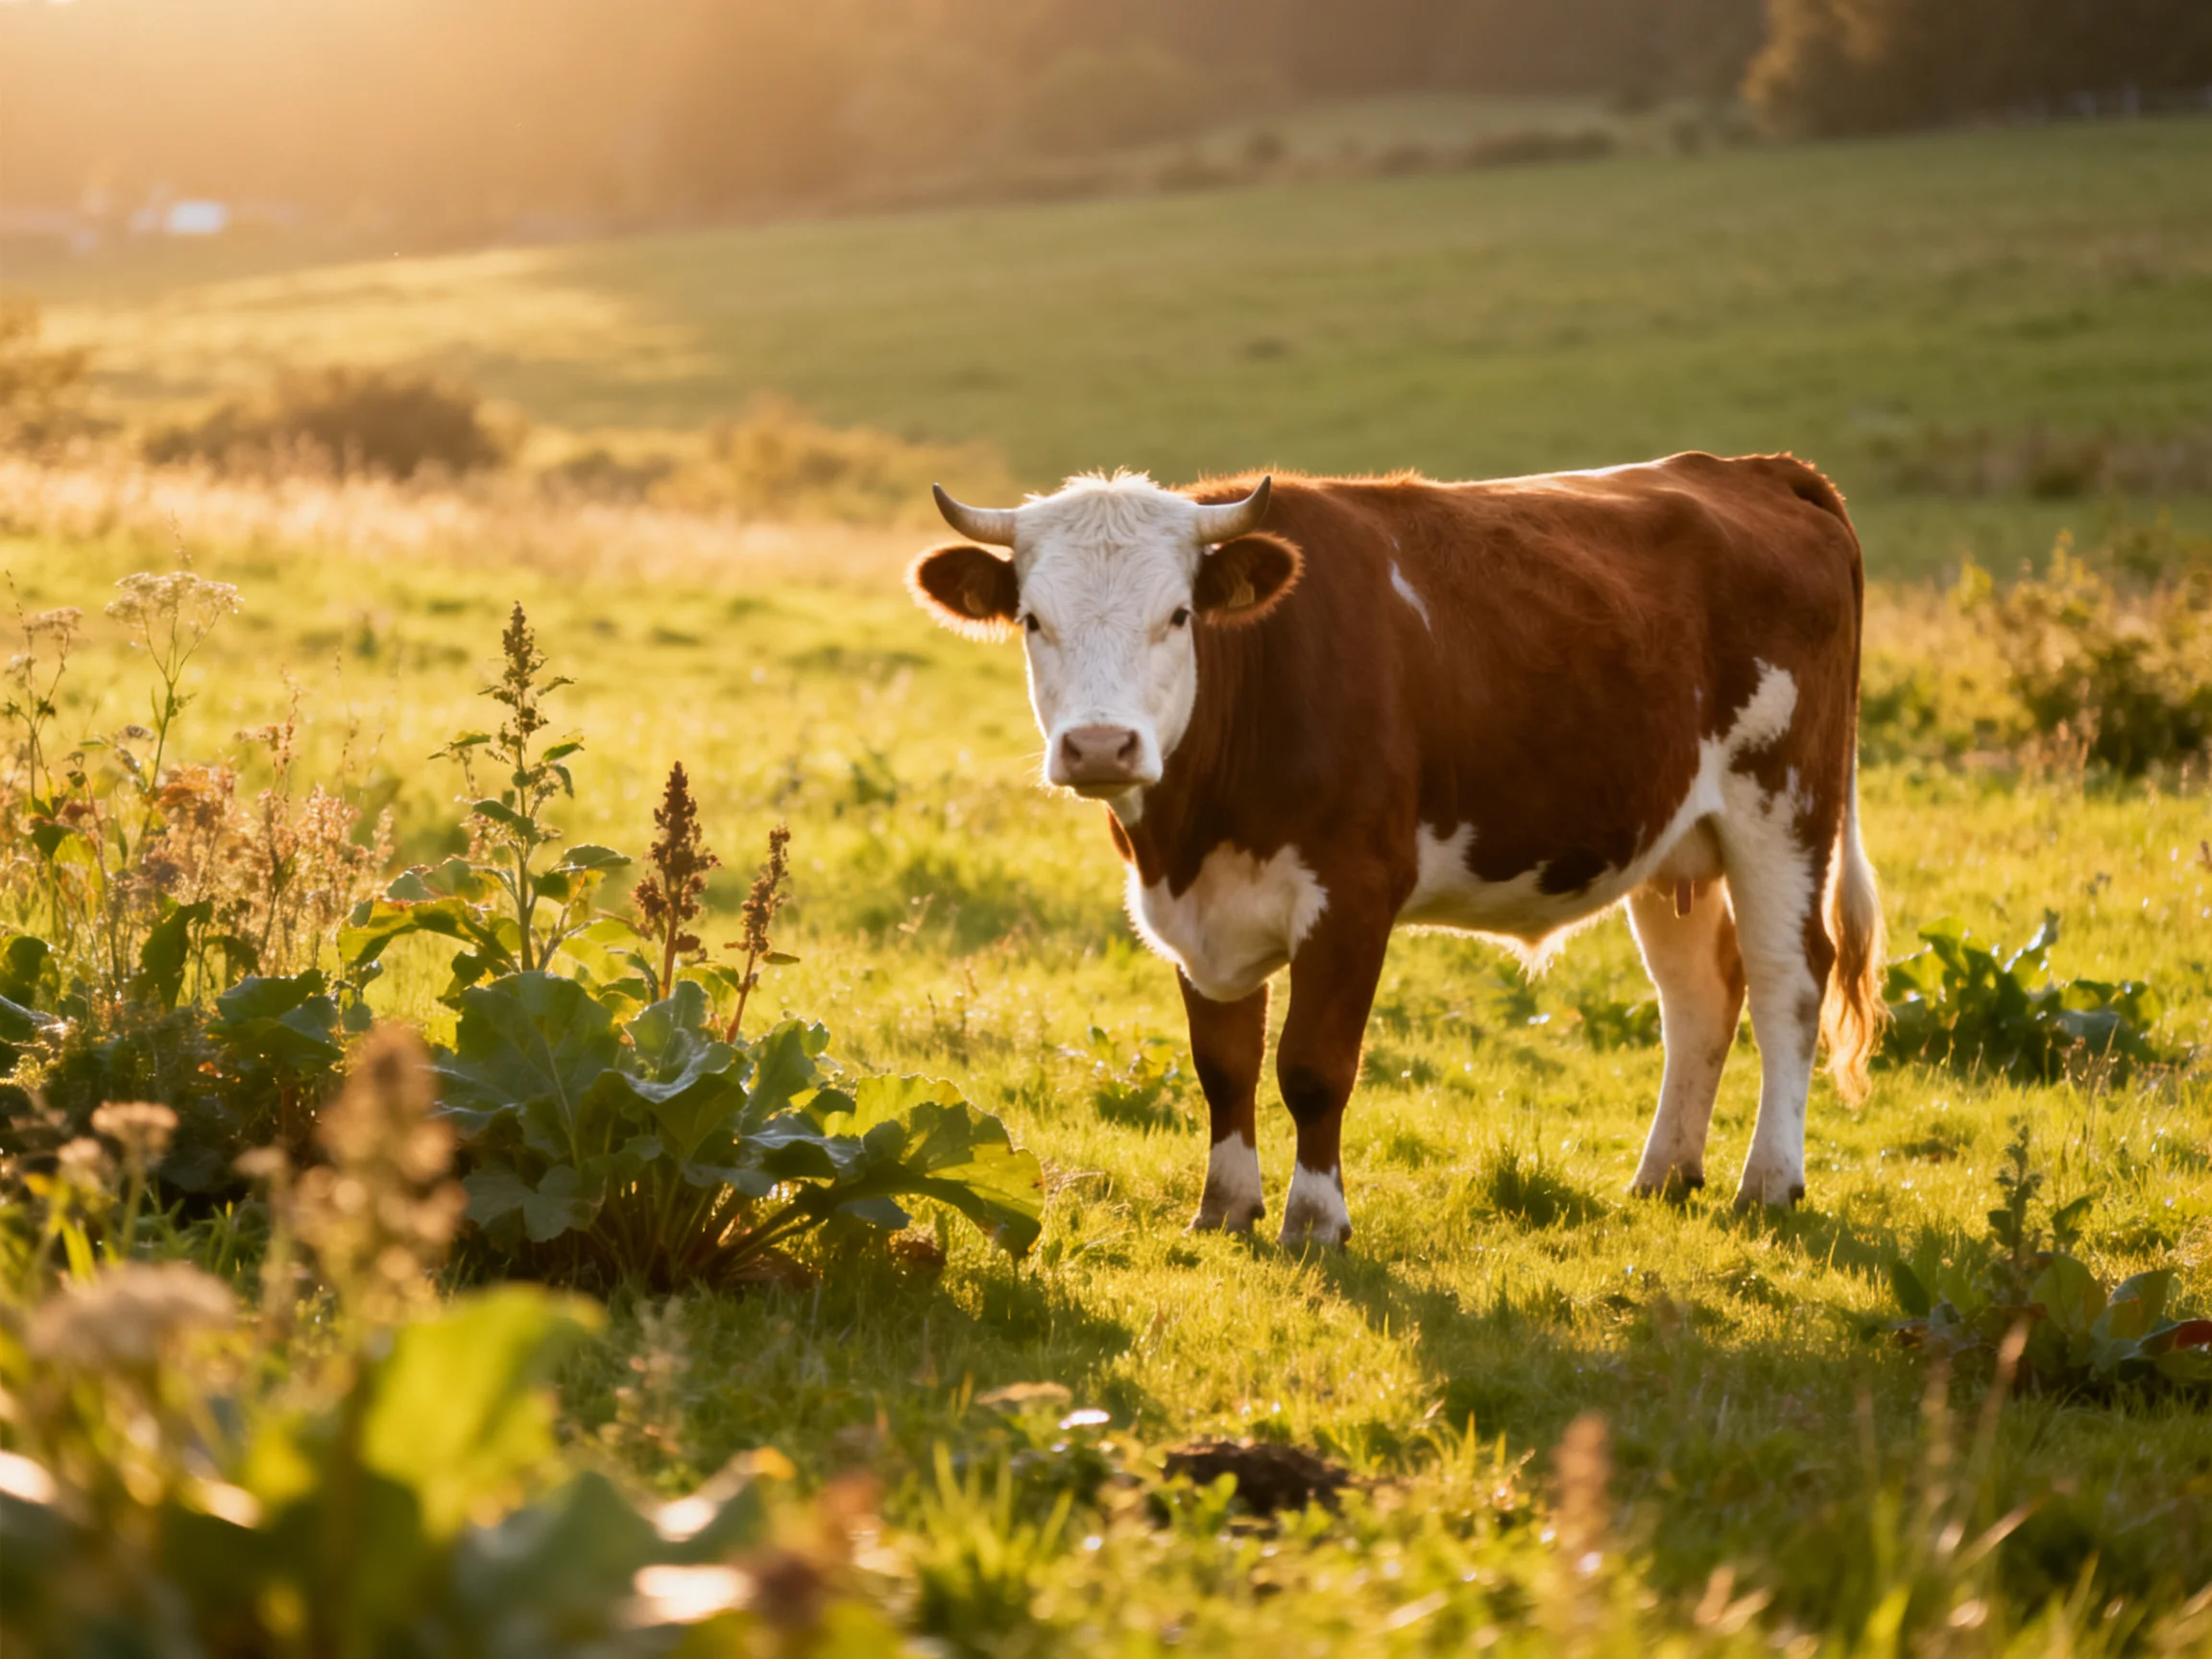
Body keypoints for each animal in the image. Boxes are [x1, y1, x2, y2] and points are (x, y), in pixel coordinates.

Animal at [907, 454, 1887, 1248]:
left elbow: (1311, 1067)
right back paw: (1664, 1174)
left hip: (1785, 807)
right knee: (1698, 995)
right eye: (1034, 620)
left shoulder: (1353, 895)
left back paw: (1768, 1182)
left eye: (1179, 615)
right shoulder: (1198, 911)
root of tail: (1756, 469)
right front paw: (1224, 1209)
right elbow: (1223, 1064)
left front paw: (1315, 1221)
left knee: (1789, 982)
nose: (1102, 746)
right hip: (1675, 834)